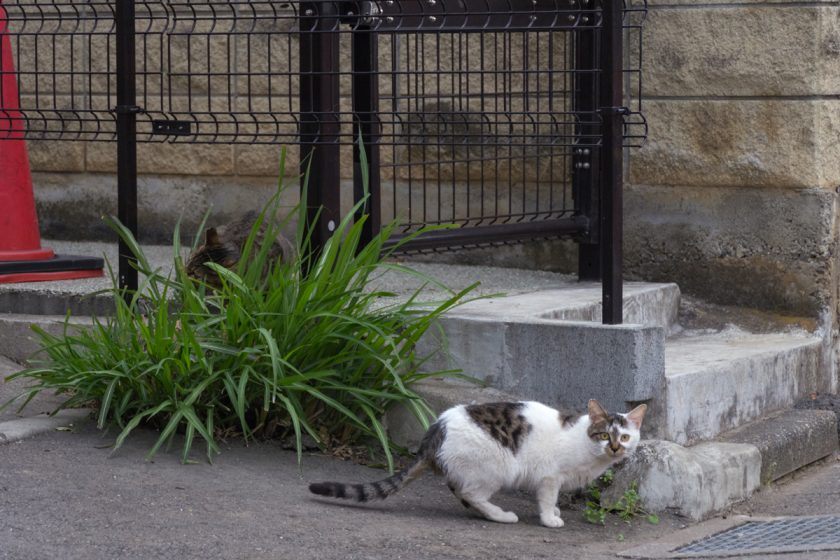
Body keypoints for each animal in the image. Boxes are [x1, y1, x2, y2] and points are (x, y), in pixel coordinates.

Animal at [312, 400, 648, 528]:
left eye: (625, 437)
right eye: (603, 434)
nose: (615, 447)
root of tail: (436, 430)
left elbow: (551, 501)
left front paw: (554, 512)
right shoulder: (550, 477)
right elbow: (546, 498)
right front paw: (549, 518)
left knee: (460, 490)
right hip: (496, 467)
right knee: (470, 493)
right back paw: (501, 515)